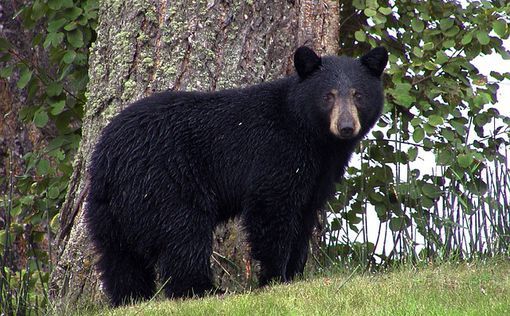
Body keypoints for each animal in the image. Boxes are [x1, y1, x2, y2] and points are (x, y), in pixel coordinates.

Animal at [84, 45, 386, 304]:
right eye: (328, 95)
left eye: (358, 94)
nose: (346, 126)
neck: (313, 137)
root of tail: (108, 158)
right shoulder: (276, 153)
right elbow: (272, 211)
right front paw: (274, 278)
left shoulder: (319, 174)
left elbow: (305, 215)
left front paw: (294, 274)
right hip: (164, 183)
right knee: (183, 235)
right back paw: (203, 290)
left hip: (108, 207)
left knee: (118, 256)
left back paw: (131, 298)